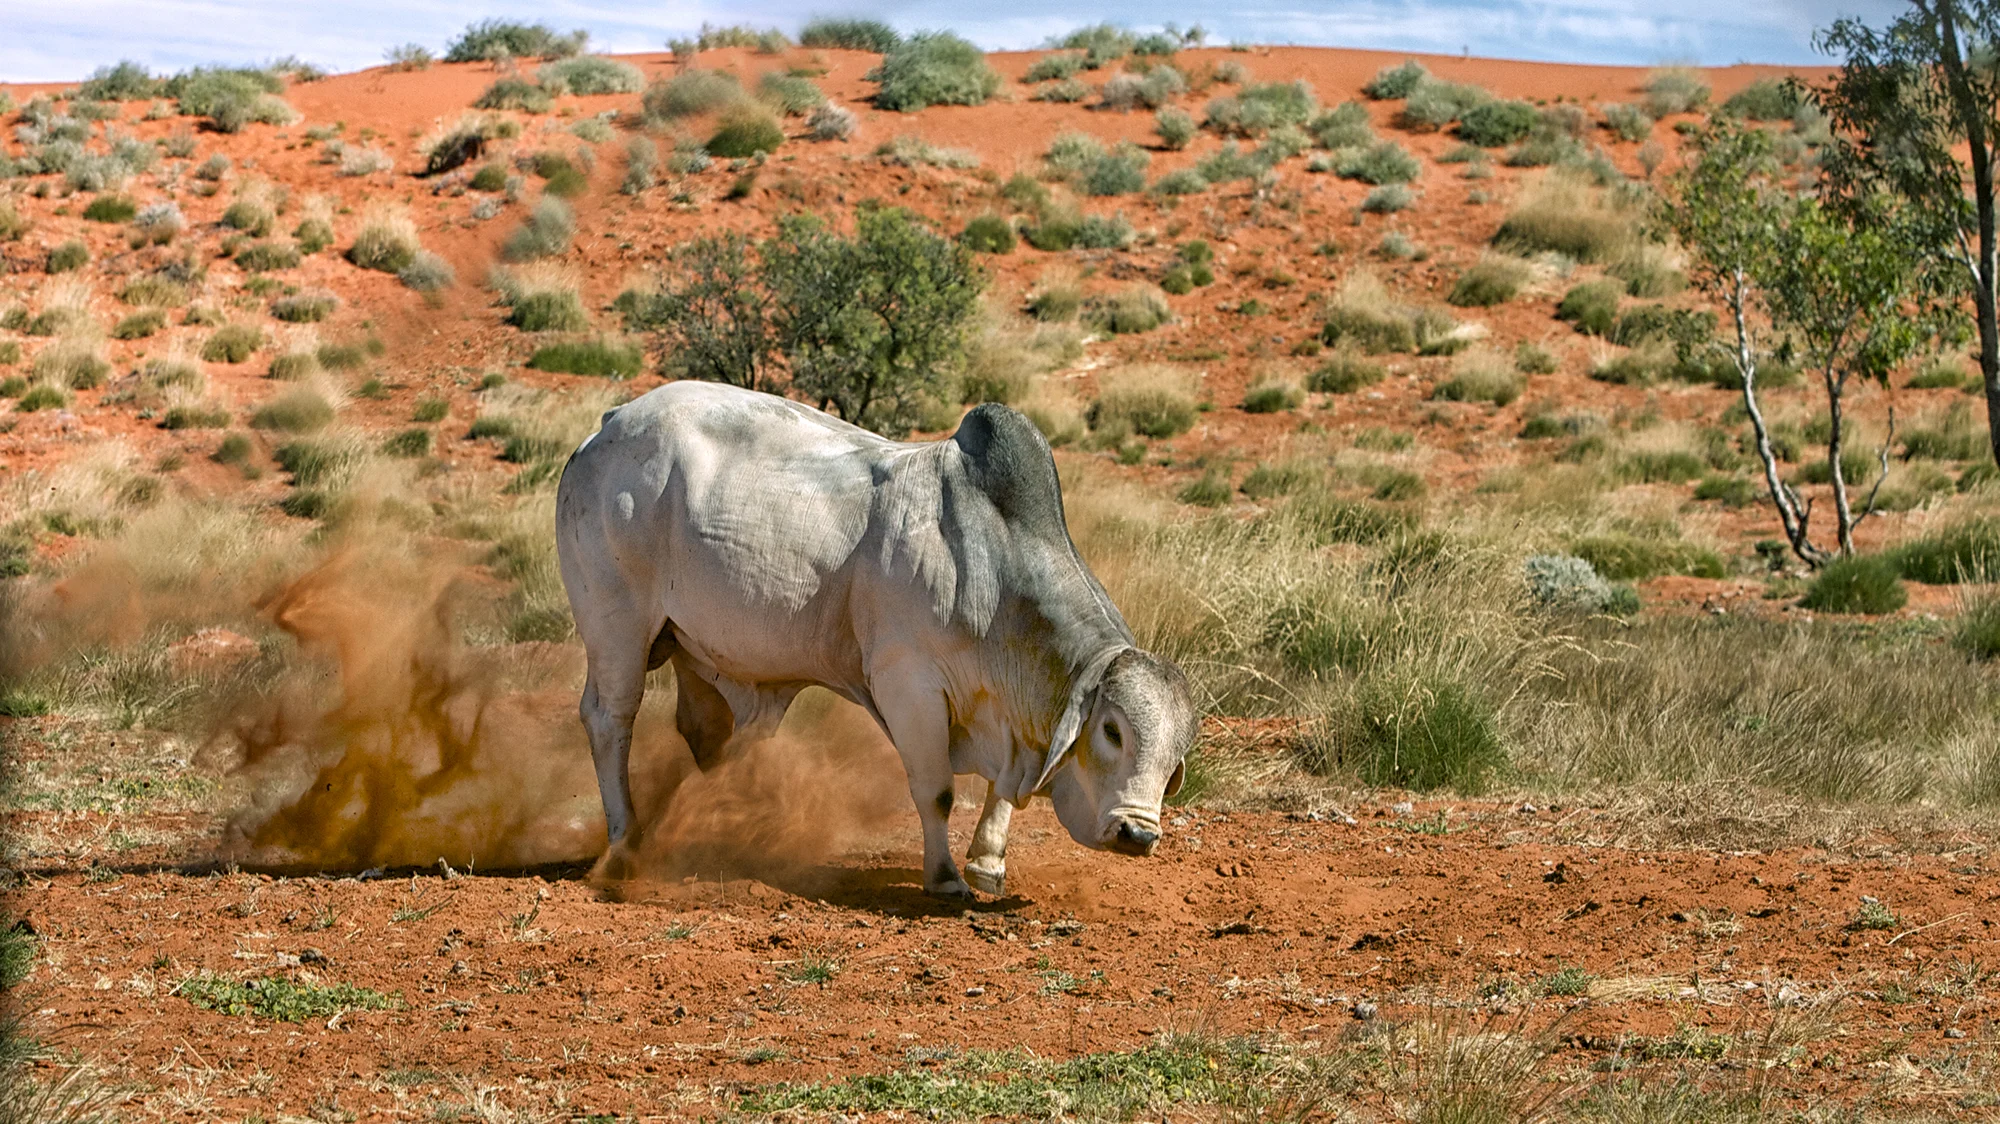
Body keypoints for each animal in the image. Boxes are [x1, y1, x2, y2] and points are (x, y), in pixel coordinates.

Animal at [554, 381, 1195, 898]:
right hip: (617, 627)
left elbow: (1001, 793)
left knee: (708, 732)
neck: (994, 571)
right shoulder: (907, 684)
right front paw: (945, 879)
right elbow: (936, 792)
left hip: (696, 649)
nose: (1138, 832)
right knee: (610, 719)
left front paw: (987, 864)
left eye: (1177, 754)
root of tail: (609, 423)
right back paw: (625, 842)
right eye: (1112, 730)